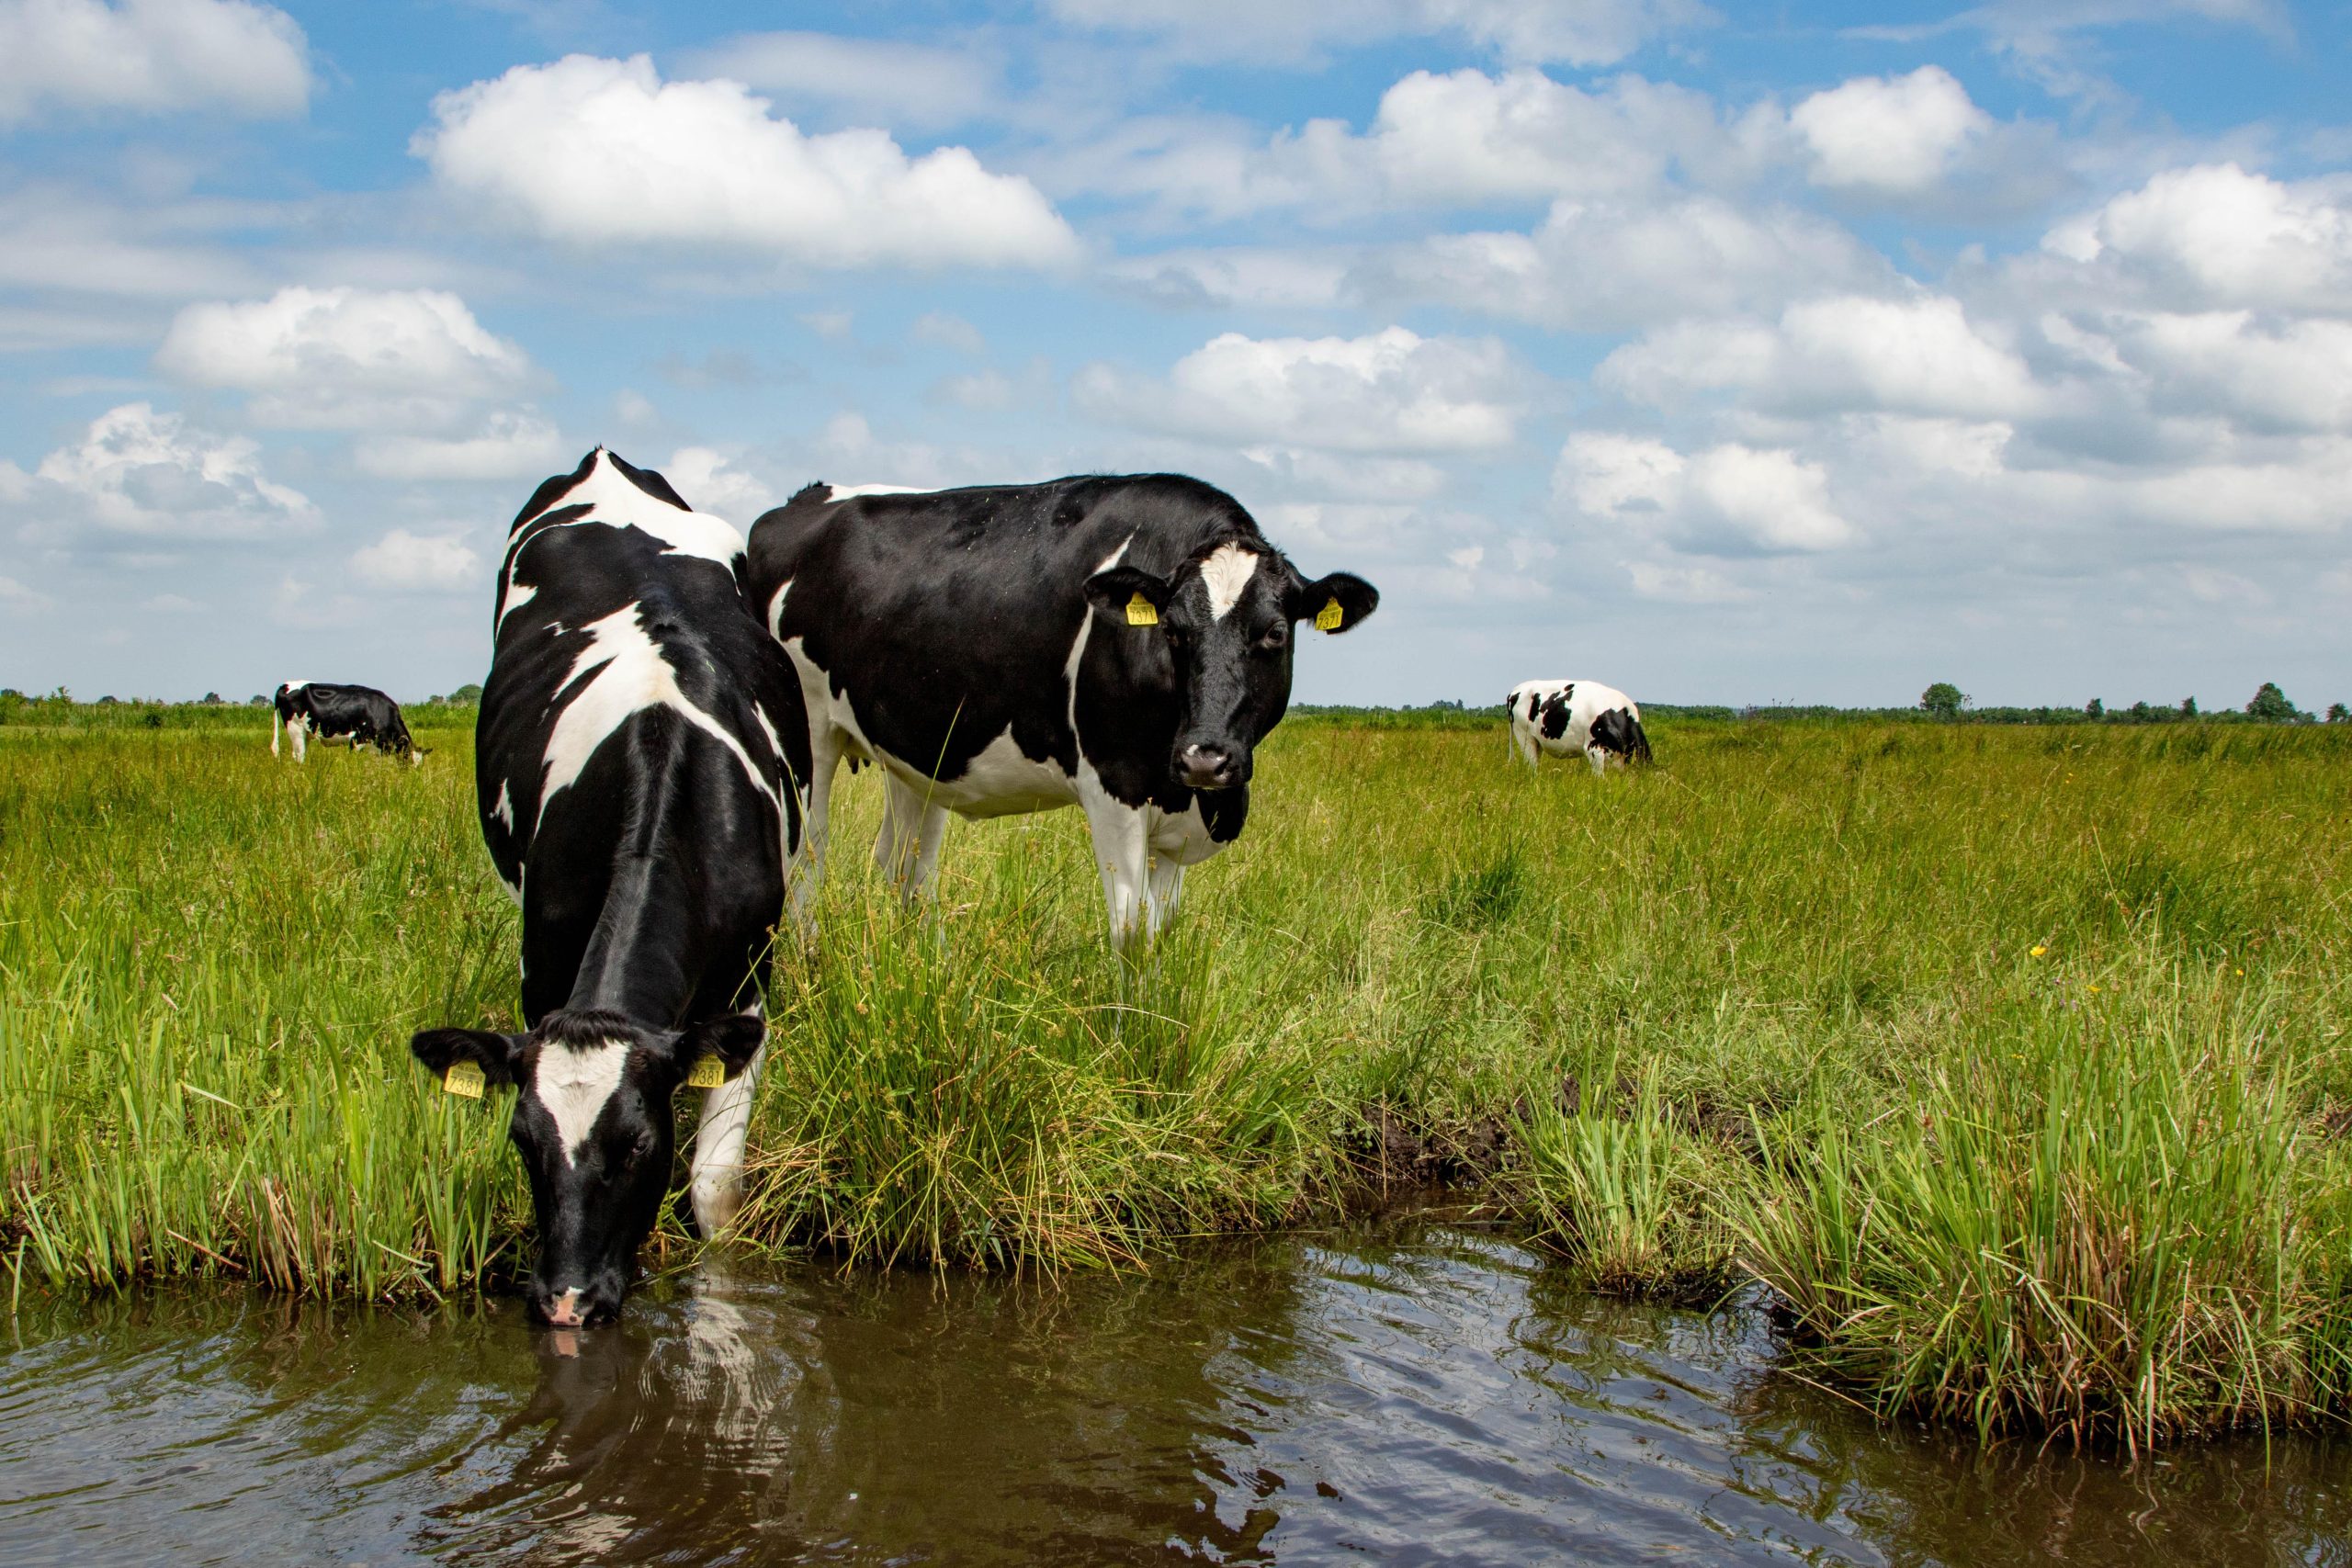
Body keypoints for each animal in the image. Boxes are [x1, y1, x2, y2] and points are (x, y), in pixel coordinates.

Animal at [271, 681, 421, 764]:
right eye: (408, 759)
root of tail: (285, 685)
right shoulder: (357, 740)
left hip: (305, 733)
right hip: (295, 730)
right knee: (299, 756)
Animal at [409, 447, 811, 1328]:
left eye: (638, 1144)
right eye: (523, 1141)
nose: (565, 1302)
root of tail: (604, 462)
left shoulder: (751, 980)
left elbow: (714, 1190)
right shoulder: (540, 969)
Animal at [745, 474, 1379, 950]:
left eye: (1274, 633)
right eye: (1173, 631)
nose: (1205, 758)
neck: (1199, 801)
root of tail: (805, 497)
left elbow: (1163, 931)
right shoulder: (1114, 785)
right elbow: (1131, 930)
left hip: (915, 752)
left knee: (905, 865)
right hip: (809, 731)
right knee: (810, 856)